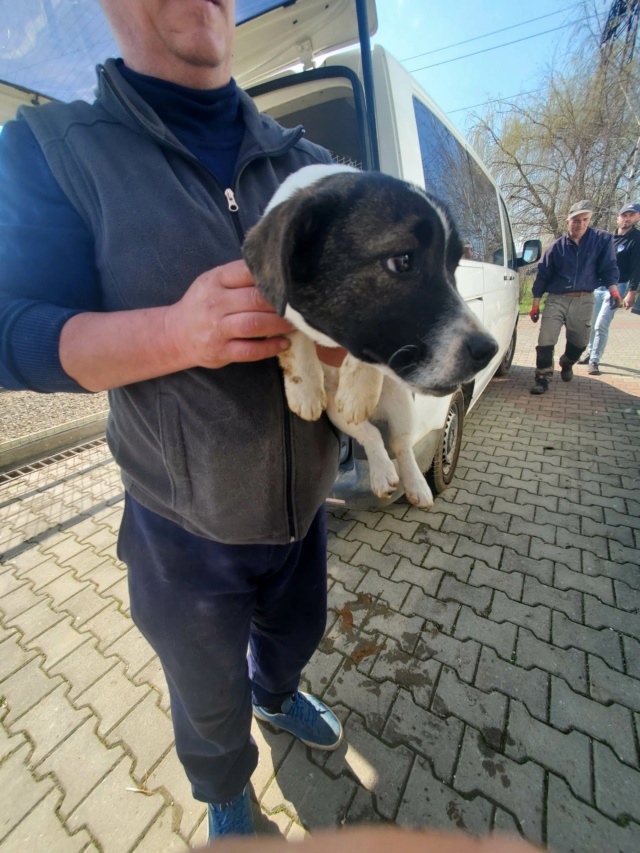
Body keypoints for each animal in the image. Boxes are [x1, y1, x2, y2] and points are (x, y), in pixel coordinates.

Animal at [242, 165, 498, 506]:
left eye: (454, 266)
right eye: (403, 261)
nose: (488, 350)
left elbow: (364, 356)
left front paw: (359, 389)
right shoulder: (267, 292)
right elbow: (294, 335)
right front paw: (304, 388)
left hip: (401, 401)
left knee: (401, 445)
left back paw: (415, 484)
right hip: (336, 412)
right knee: (371, 433)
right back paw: (381, 471)